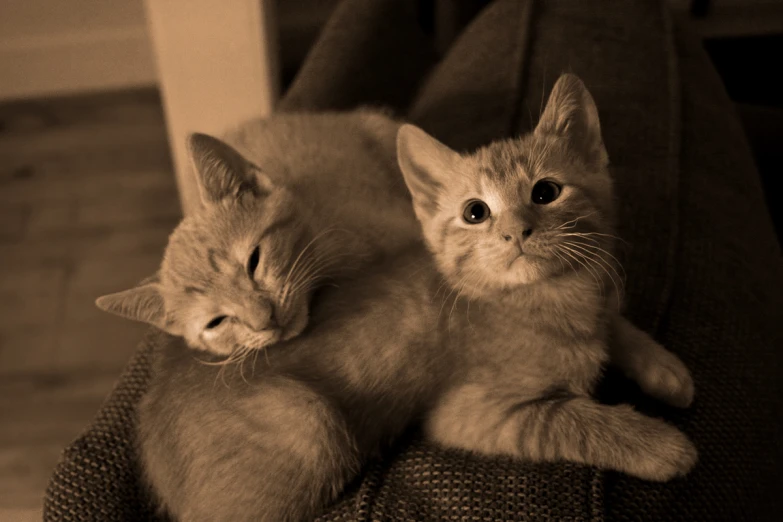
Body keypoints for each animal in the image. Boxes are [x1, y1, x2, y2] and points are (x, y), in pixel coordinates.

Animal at [138, 74, 696, 520]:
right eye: (475, 212)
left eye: (546, 192)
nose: (516, 231)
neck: (552, 297)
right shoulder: (474, 414)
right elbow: (571, 419)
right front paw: (659, 445)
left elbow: (616, 321)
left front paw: (666, 370)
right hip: (312, 425)